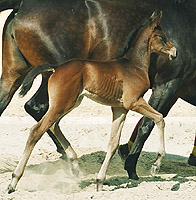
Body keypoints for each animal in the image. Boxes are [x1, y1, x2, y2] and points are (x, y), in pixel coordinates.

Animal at [0, 0, 195, 180]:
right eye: (161, 36)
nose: (174, 52)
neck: (133, 65)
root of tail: (21, 5)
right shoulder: (161, 87)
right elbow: (152, 122)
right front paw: (142, 166)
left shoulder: (125, 105)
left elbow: (121, 137)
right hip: (62, 96)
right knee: (38, 115)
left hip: (18, 77)